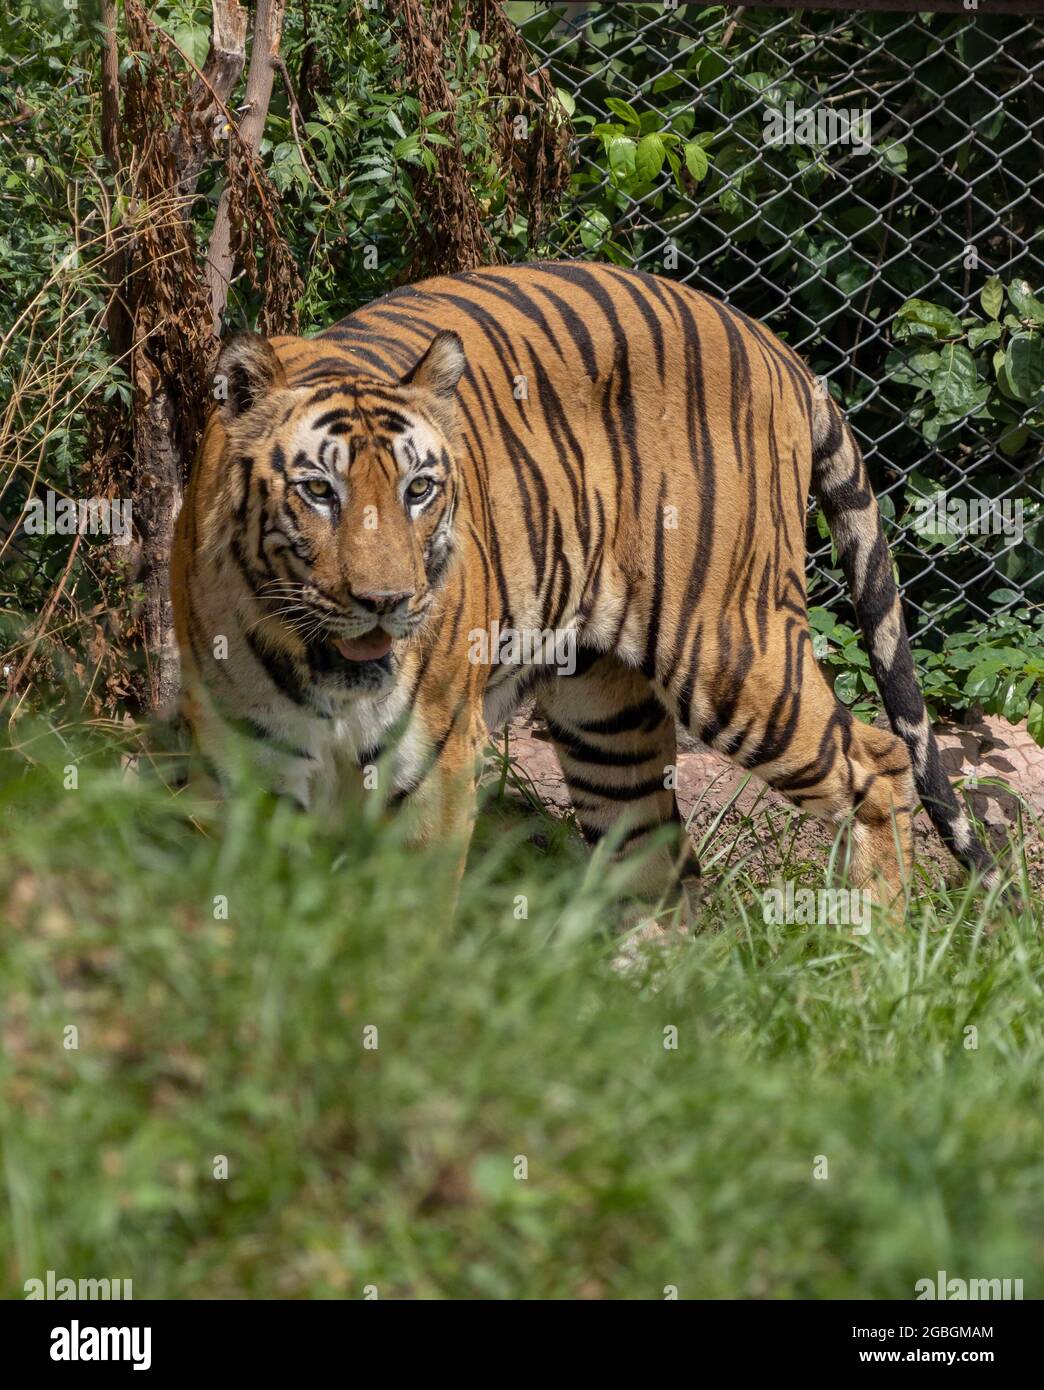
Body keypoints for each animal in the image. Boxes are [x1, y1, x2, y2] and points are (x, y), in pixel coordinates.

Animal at [173, 262, 1006, 911]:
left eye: (418, 490)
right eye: (319, 492)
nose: (387, 603)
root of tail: (774, 344)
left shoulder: (434, 764)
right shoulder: (245, 775)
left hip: (730, 650)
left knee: (880, 762)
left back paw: (874, 955)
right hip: (606, 714)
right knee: (660, 859)